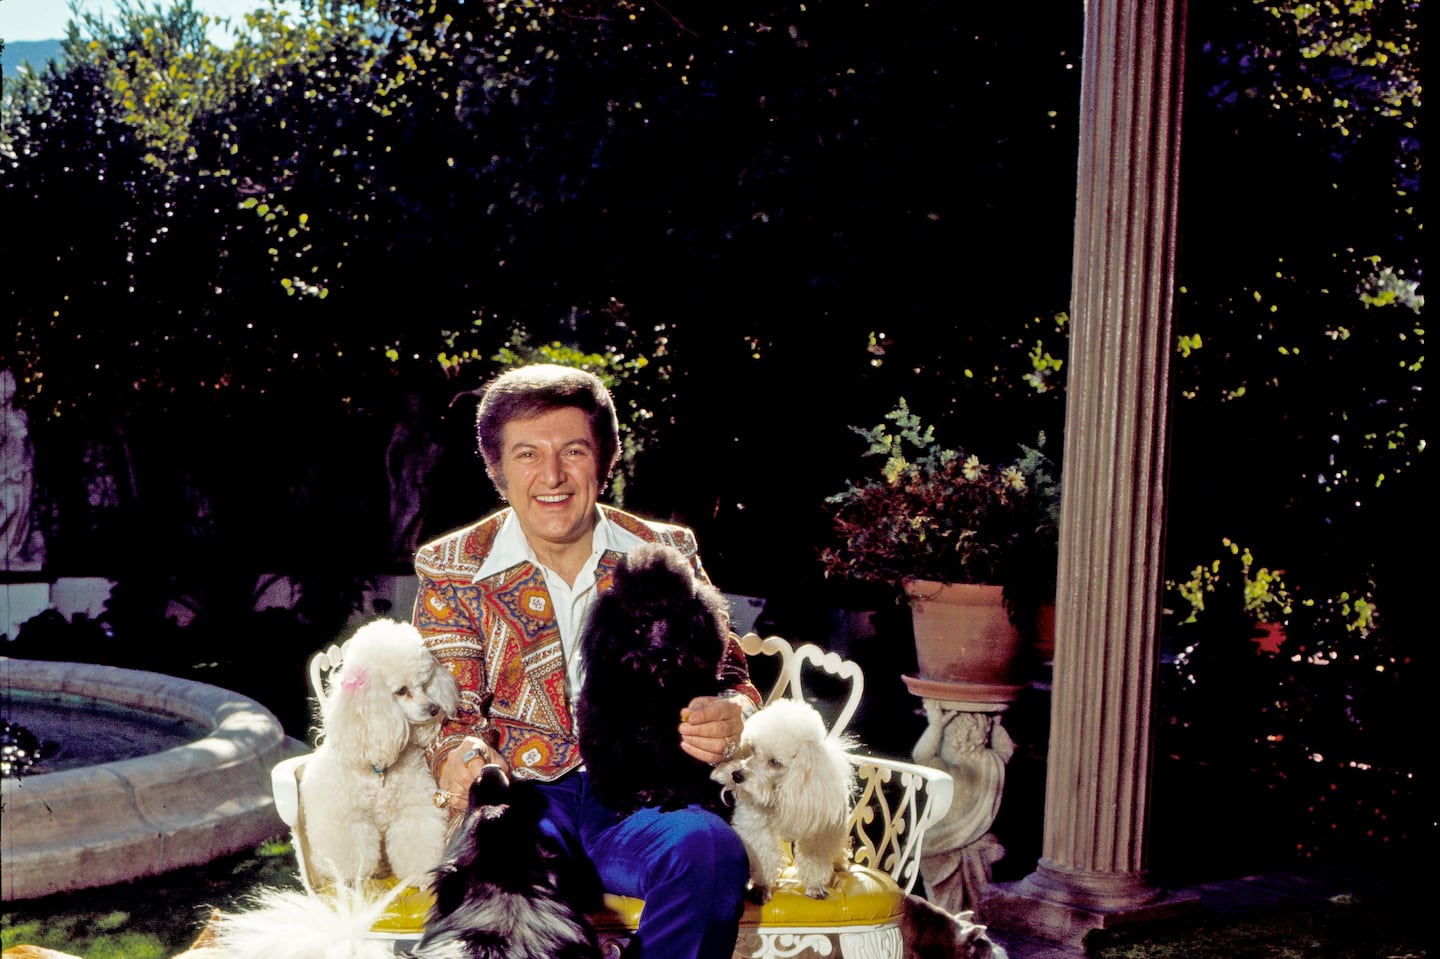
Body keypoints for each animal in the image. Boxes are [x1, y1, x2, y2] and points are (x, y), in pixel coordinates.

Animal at [300, 616, 457, 887]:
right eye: (402, 690)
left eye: (424, 684)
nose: (434, 709)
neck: (379, 770)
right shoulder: (348, 819)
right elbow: (350, 854)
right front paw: (351, 882)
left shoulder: (414, 808)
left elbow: (418, 842)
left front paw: (422, 875)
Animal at [714, 694, 858, 898]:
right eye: (753, 749)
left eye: (775, 762)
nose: (736, 776)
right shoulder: (756, 827)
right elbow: (763, 854)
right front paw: (762, 886)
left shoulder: (819, 833)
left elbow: (815, 859)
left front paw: (815, 886)